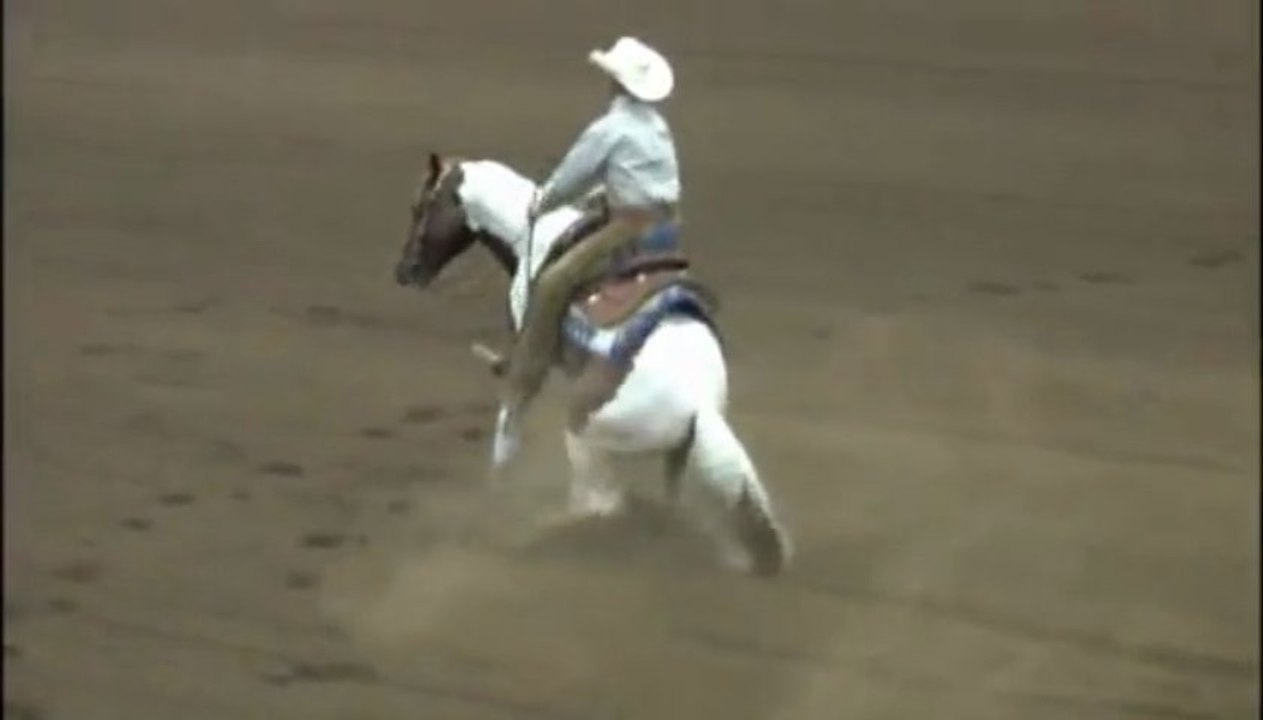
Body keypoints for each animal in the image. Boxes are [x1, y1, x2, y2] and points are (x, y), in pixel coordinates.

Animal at [393, 152, 790, 576]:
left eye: (420, 206)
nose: (404, 271)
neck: (532, 237)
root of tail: (699, 403)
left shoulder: (528, 352)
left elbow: (511, 414)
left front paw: (497, 483)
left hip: (584, 433)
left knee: (601, 505)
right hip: (676, 451)